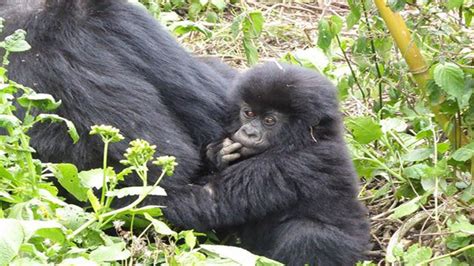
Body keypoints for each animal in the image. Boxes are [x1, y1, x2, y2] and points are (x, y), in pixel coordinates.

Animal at [200, 62, 370, 266]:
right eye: (249, 113)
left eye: (269, 121)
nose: (248, 132)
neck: (305, 139)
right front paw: (220, 152)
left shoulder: (299, 161)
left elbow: (214, 198)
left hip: (354, 250)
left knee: (307, 234)